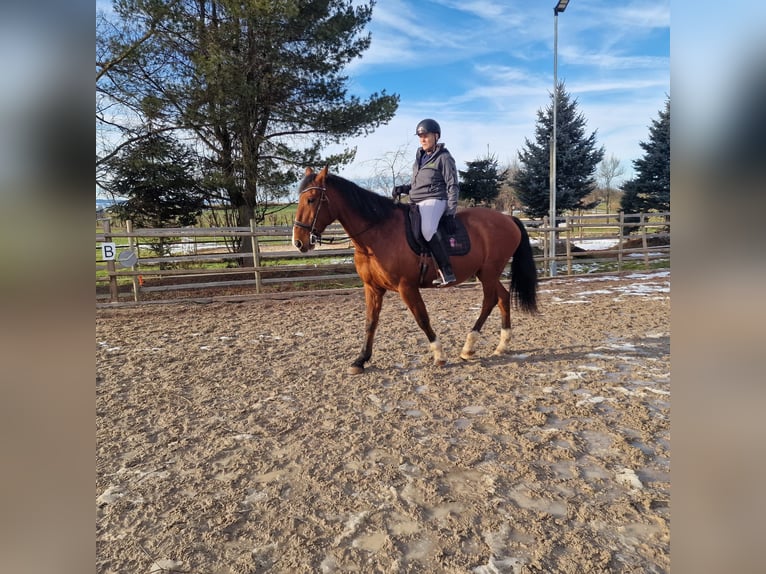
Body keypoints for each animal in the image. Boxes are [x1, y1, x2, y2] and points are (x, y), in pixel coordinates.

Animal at [292, 166, 539, 374]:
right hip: (486, 273)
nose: (299, 242)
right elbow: (370, 323)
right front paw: (360, 360)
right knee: (502, 297)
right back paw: (502, 345)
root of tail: (508, 218)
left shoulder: (407, 287)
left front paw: (438, 354)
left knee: (489, 300)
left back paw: (468, 347)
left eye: (311, 200)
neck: (377, 233)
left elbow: (422, 318)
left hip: (488, 273)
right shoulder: (372, 288)